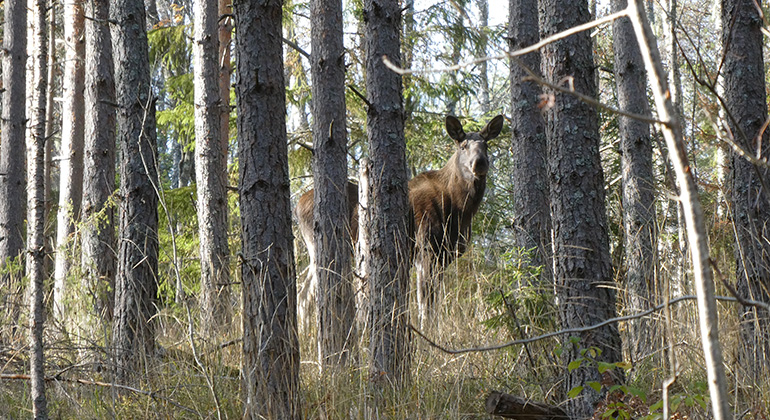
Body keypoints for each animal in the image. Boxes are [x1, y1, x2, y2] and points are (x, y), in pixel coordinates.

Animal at [294, 114, 504, 328]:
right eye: (463, 145)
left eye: (486, 145)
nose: (479, 162)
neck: (460, 210)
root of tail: (297, 205)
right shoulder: (425, 249)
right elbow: (425, 303)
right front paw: (426, 330)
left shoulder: (445, 256)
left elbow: (433, 301)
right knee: (307, 294)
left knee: (303, 296)